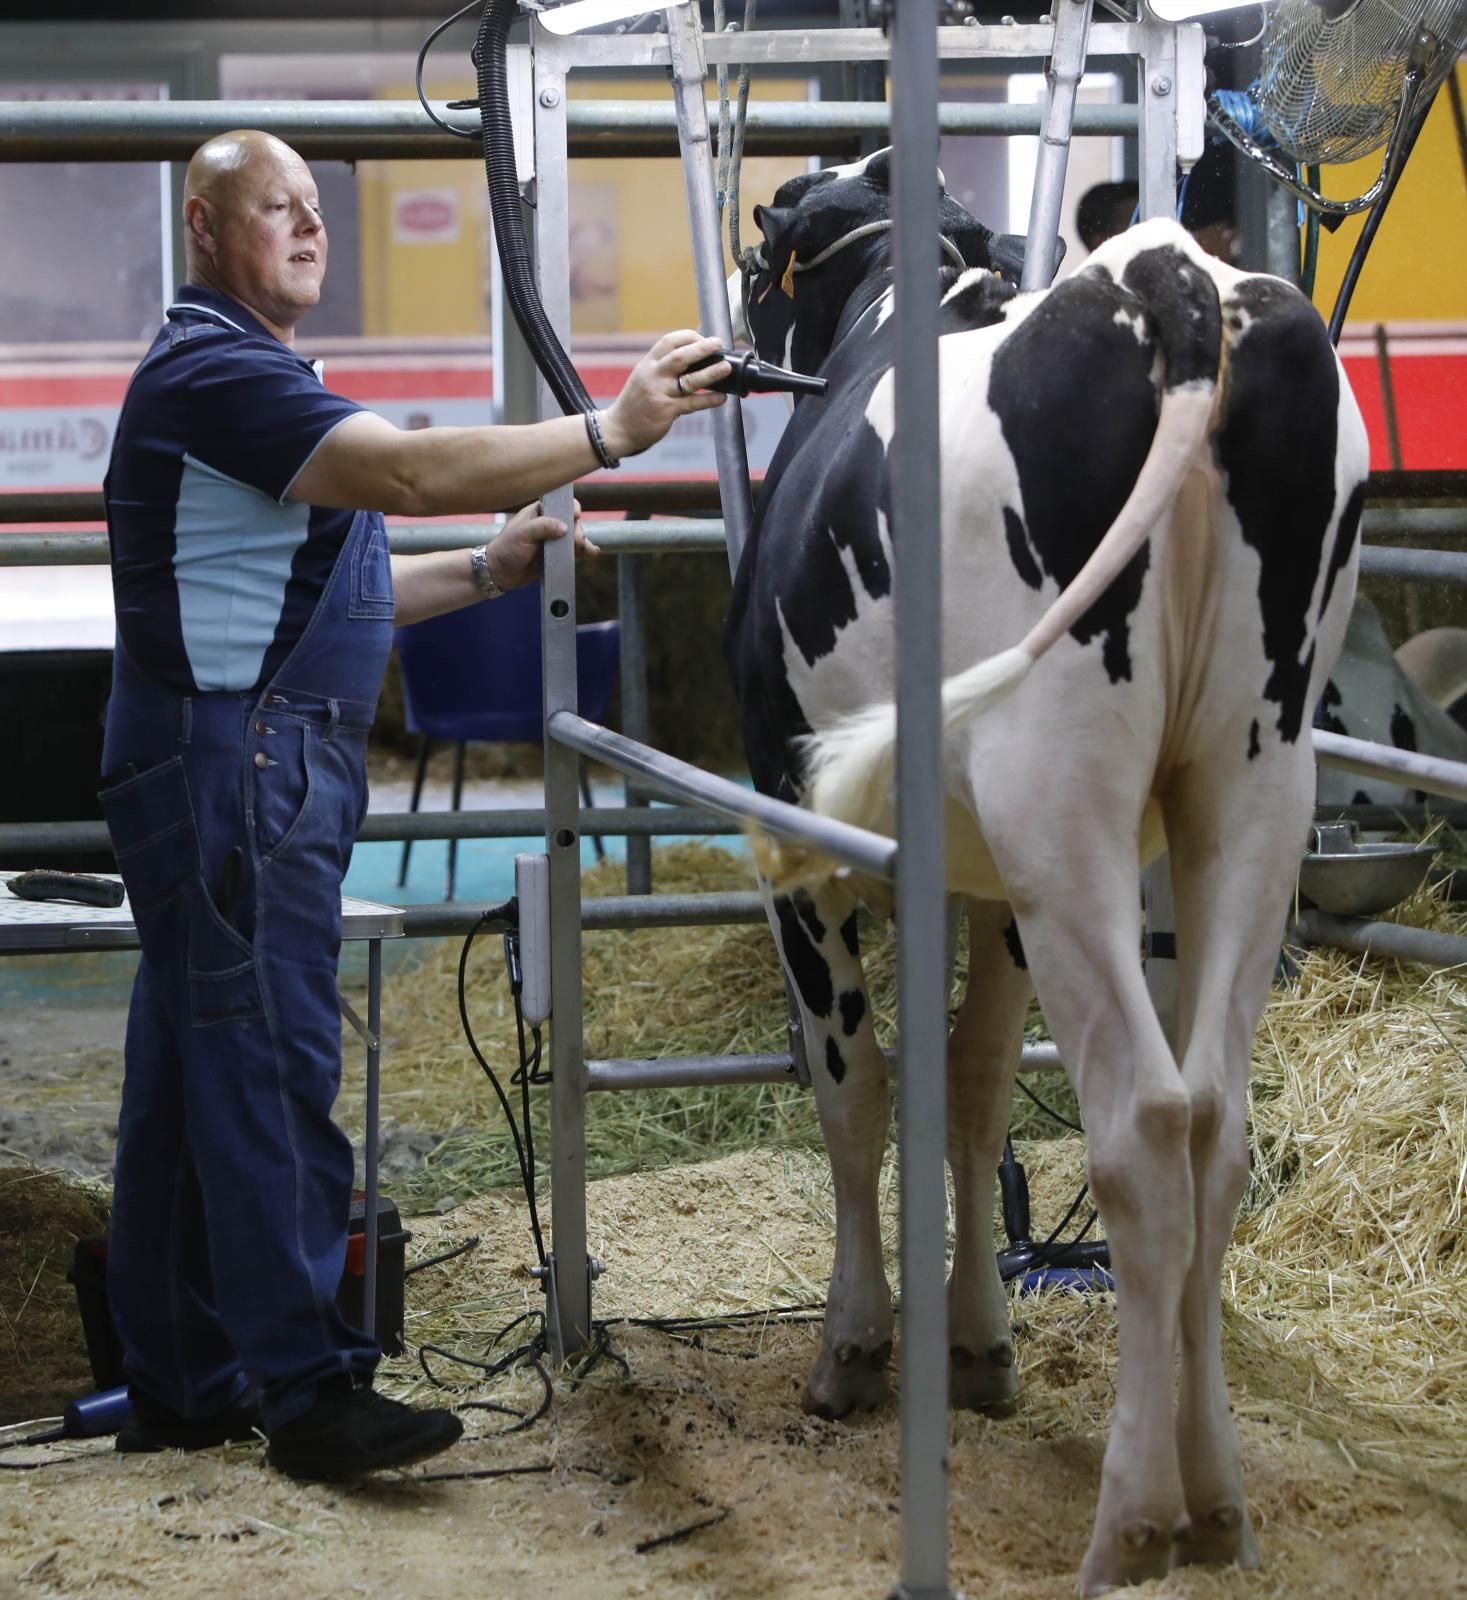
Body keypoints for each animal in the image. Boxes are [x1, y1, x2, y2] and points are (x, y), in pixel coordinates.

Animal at [726, 152, 1369, 1600]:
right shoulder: (987, 894)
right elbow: (968, 1091)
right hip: (1251, 783)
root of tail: (1167, 276)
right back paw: (1215, 1497)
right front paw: (975, 1340)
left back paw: (1131, 1517)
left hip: (1058, 796)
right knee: (1214, 1120)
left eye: (757, 260)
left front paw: (857, 1346)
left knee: (1142, 1118)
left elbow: (856, 1094)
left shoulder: (803, 853)